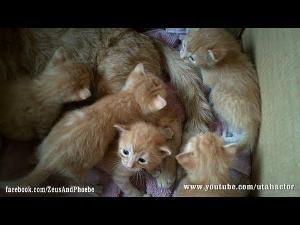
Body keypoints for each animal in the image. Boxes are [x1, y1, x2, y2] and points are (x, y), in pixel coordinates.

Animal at [0, 62, 169, 190]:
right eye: (161, 85)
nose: (165, 82)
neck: (125, 97)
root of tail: (47, 160)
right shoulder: (130, 123)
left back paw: (32, 158)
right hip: (77, 170)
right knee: (74, 182)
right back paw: (93, 188)